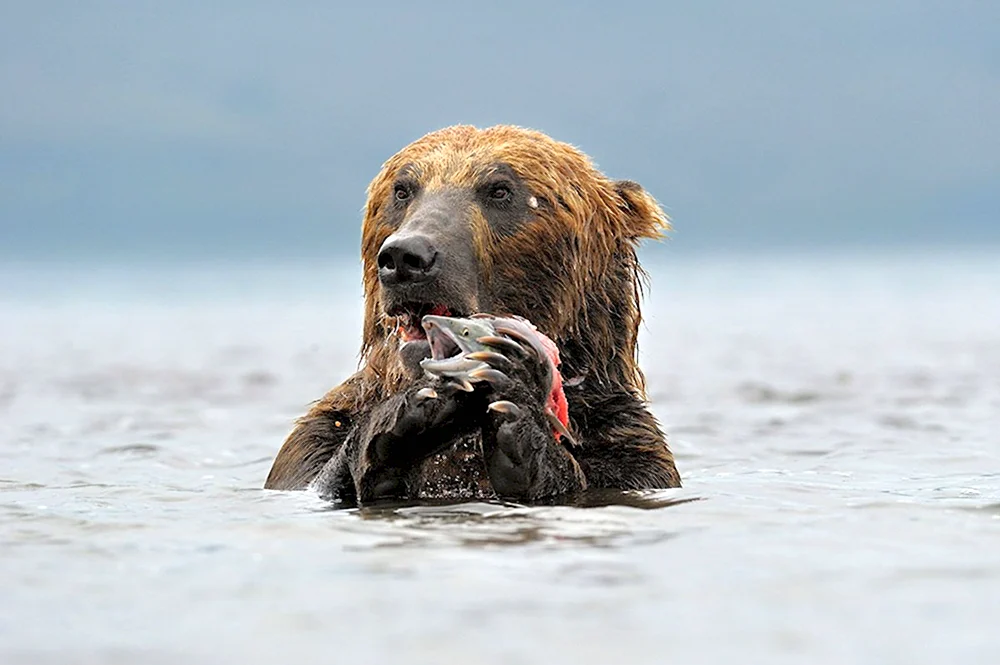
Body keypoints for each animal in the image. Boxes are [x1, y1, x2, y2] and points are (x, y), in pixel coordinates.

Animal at [264, 124, 680, 500]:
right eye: (402, 189)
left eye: (500, 189)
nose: (406, 256)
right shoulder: (312, 443)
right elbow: (320, 468)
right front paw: (412, 416)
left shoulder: (629, 450)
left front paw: (519, 411)